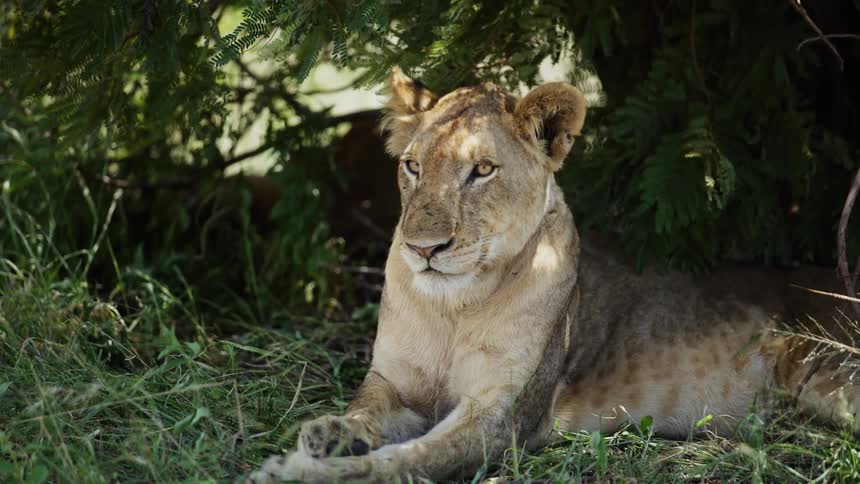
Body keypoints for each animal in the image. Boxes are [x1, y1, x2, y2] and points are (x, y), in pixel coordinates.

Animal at [250, 67, 860, 483]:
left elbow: (409, 459)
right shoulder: (393, 383)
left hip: (834, 379)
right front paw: (329, 434)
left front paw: (303, 469)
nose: (423, 248)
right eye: (412, 167)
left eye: (482, 170)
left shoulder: (503, 417)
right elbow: (364, 410)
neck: (454, 306)